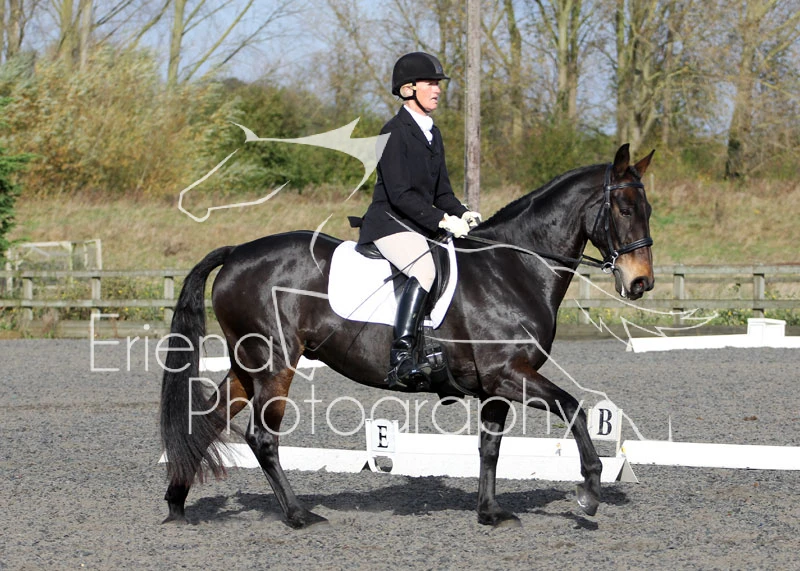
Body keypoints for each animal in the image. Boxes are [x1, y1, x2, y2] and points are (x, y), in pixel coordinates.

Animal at [160, 143, 655, 528]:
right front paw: (589, 491)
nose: (640, 283)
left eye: (647, 211)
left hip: (248, 365)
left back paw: (177, 504)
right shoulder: (509, 373)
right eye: (624, 209)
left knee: (207, 420)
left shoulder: (495, 386)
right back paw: (299, 515)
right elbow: (573, 408)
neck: (512, 268)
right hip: (275, 363)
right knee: (262, 438)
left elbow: (490, 447)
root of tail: (236, 253)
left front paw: (490, 512)